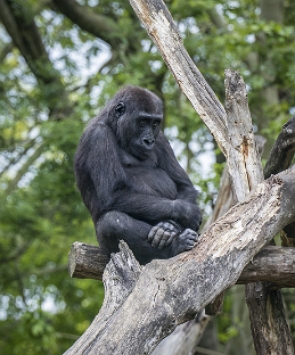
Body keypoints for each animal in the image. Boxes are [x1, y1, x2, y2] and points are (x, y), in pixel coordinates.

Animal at [75, 86, 202, 264]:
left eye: (154, 123)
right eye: (142, 122)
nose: (148, 141)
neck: (113, 125)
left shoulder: (160, 137)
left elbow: (184, 186)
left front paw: (169, 226)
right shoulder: (98, 136)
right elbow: (114, 195)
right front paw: (186, 212)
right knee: (112, 222)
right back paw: (176, 245)